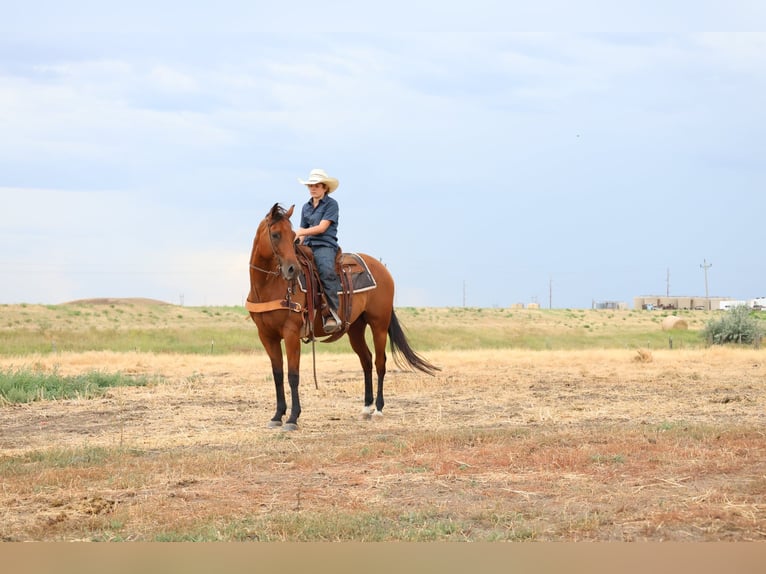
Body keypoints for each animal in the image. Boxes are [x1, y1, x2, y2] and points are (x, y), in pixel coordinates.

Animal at [247, 203, 439, 430]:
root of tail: (382, 268)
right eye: (275, 234)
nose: (292, 269)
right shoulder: (266, 336)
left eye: (293, 235)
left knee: (380, 363)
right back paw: (366, 408)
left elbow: (293, 375)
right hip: (355, 328)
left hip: (379, 325)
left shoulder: (291, 333)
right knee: (366, 360)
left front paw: (293, 418)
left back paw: (378, 410)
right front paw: (277, 416)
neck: (268, 287)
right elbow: (277, 374)